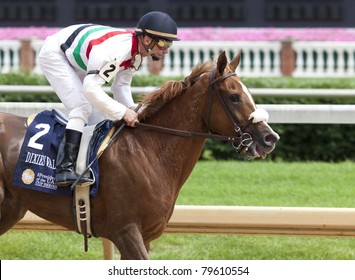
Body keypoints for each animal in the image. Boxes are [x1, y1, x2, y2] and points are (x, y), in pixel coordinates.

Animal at [0, 51, 280, 260]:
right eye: (234, 97)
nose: (270, 138)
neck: (149, 152)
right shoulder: (126, 232)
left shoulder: (143, 236)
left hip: (11, 208)